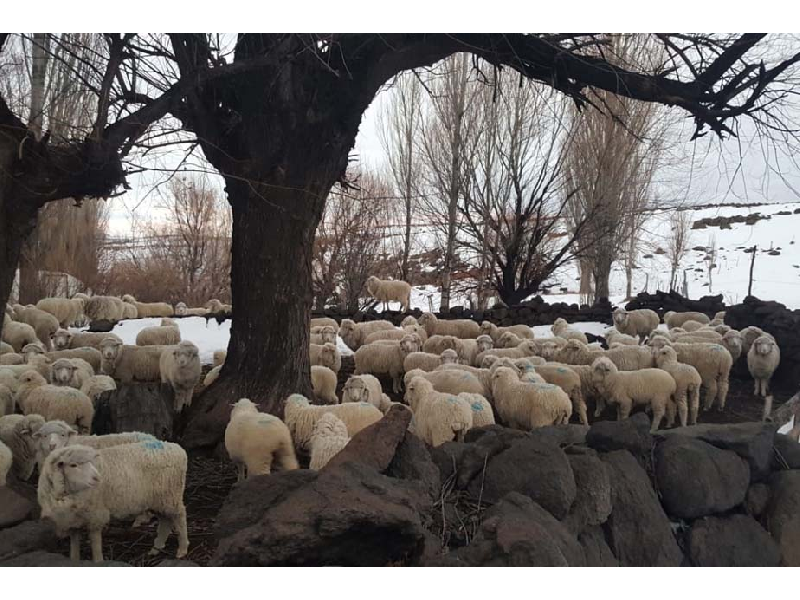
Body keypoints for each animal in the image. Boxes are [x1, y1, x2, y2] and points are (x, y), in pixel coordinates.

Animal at [38, 441, 189, 562]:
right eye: (73, 465)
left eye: (89, 463)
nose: (97, 478)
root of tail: (177, 448)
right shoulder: (72, 519)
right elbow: (74, 544)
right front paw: (74, 560)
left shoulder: (96, 515)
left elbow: (95, 543)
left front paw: (98, 561)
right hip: (159, 499)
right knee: (165, 521)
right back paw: (156, 549)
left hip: (171, 495)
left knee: (180, 517)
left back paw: (182, 549)